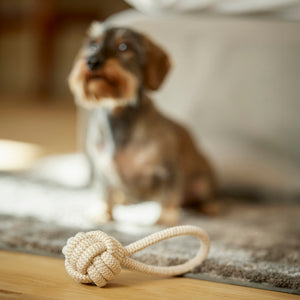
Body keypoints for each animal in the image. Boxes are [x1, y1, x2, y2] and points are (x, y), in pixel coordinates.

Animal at [69, 22, 217, 225]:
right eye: (93, 44)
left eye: (124, 46)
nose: (92, 61)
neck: (119, 114)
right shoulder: (102, 170)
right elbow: (104, 192)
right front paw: (103, 212)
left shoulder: (169, 169)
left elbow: (169, 194)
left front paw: (166, 217)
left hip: (203, 182)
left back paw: (209, 207)